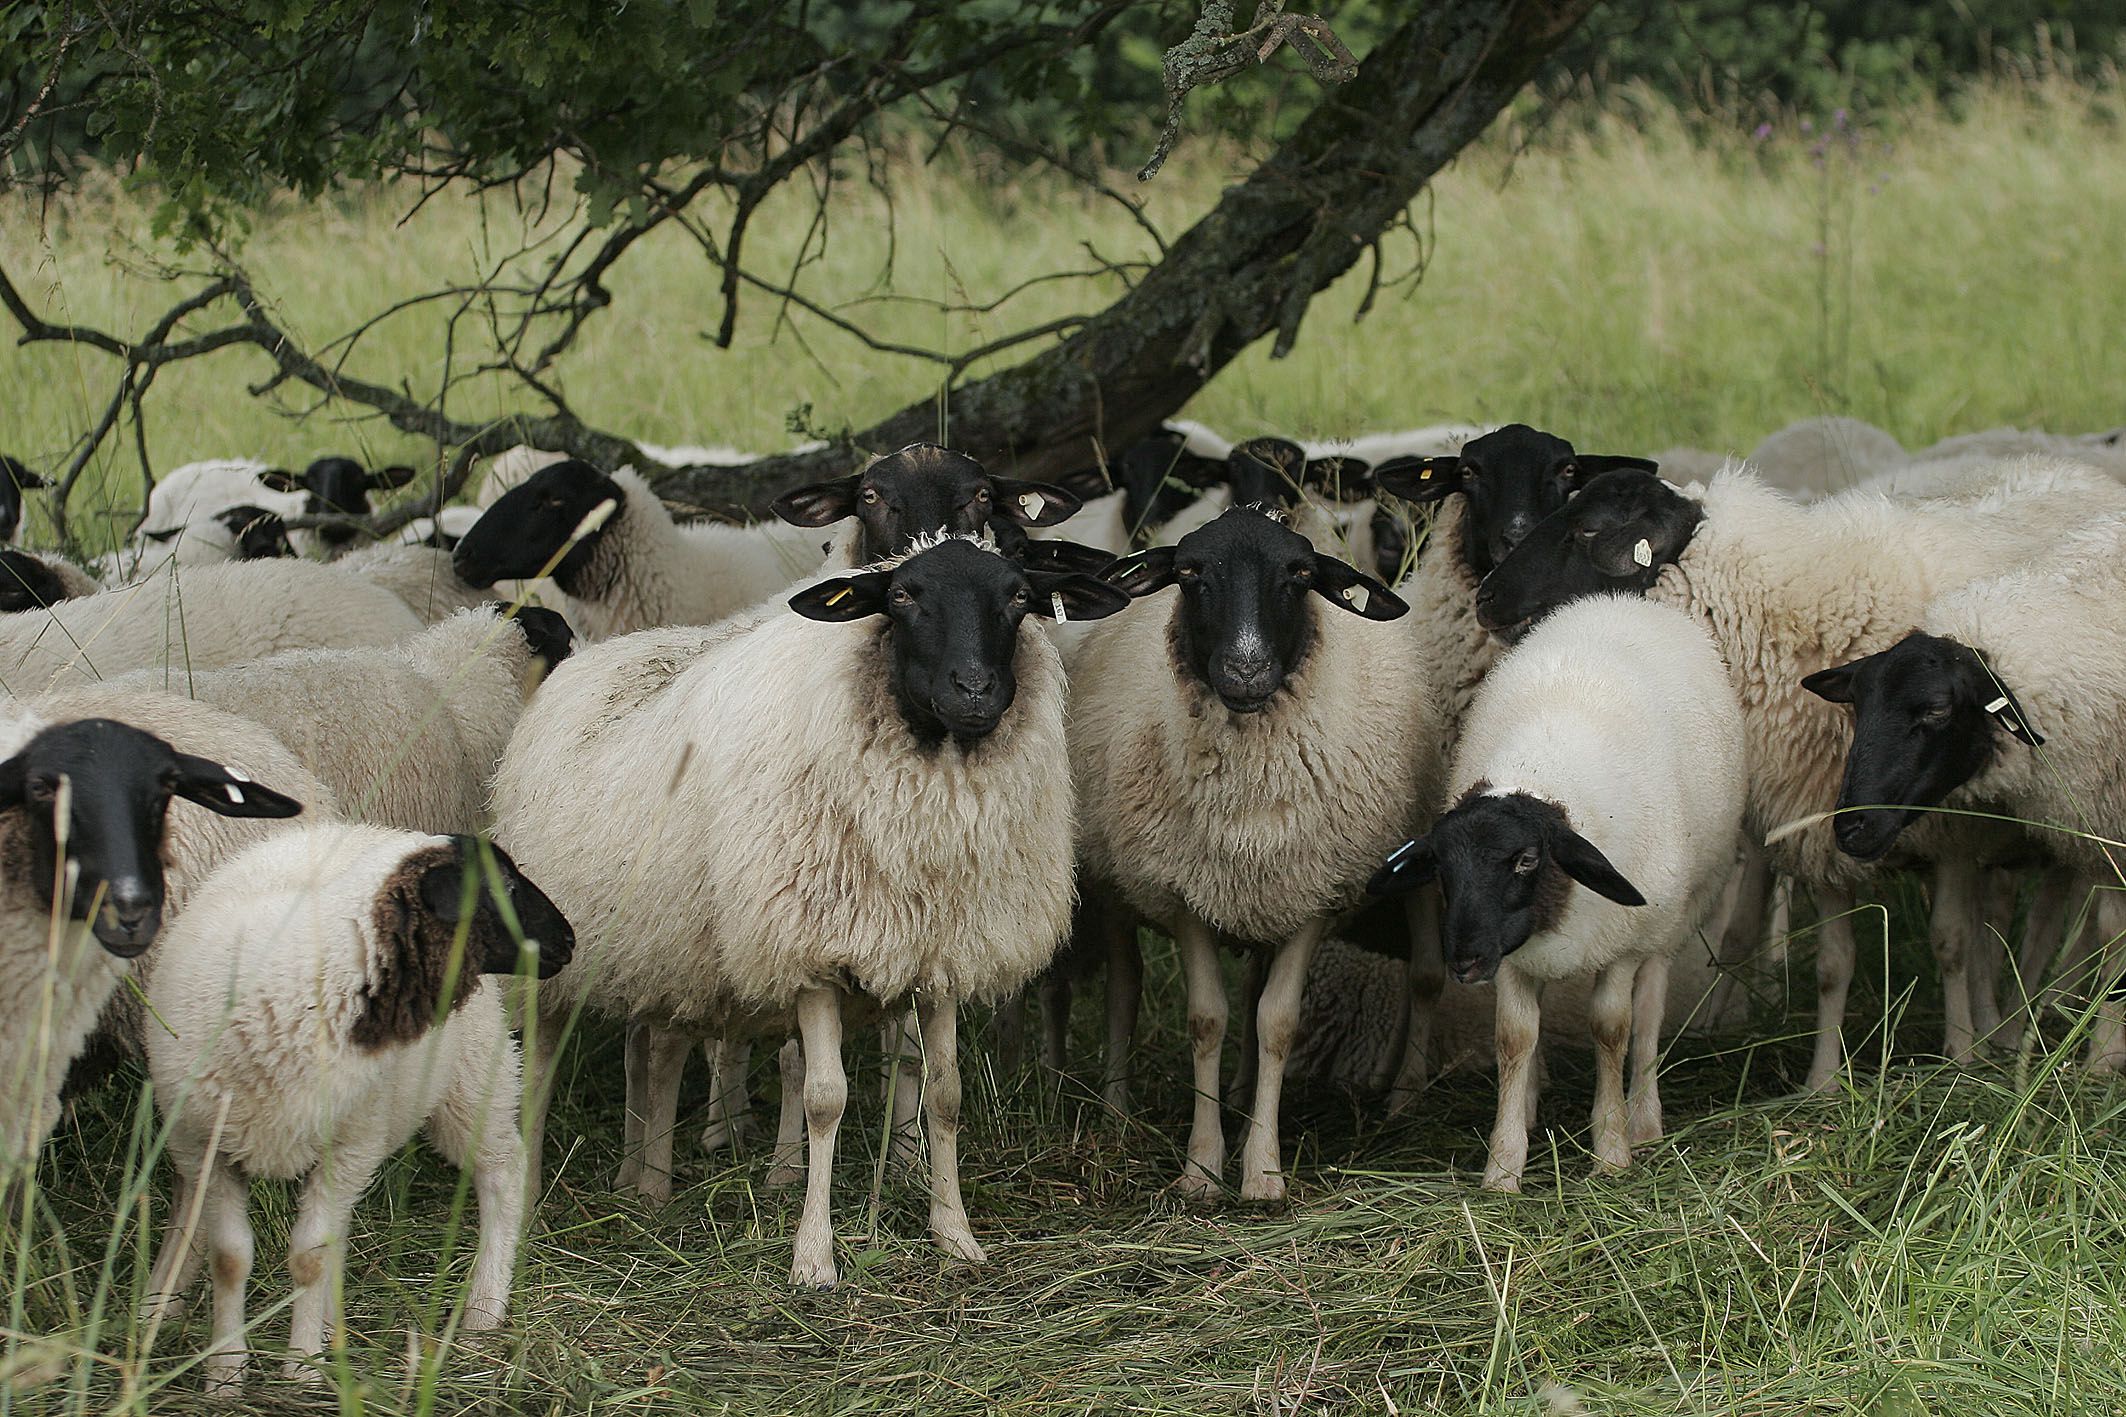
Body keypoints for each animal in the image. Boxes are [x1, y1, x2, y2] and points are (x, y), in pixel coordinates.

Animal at [139, 824, 572, 1391]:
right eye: (507, 886)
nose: (569, 940)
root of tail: (366, 829)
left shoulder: (347, 1144)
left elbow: (308, 1257)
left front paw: (300, 1370)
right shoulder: (206, 1146)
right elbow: (231, 1257)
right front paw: (227, 1375)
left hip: (471, 1077)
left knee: (503, 1171)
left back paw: (483, 1311)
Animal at [493, 534, 1130, 1285]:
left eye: (1020, 597)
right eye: (902, 596)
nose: (974, 690)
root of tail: (592, 655)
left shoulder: (941, 950)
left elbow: (945, 1093)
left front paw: (955, 1234)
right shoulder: (811, 948)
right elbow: (826, 1098)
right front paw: (814, 1257)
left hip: (658, 945)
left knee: (651, 1053)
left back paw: (642, 1181)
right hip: (553, 957)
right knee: (539, 1070)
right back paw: (534, 1204)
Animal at [1070, 506, 1430, 1201]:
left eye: (1301, 575)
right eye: (1188, 573)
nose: (1245, 670)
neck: (1250, 789)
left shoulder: (1314, 892)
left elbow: (1276, 1022)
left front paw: (1262, 1170)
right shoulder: (1183, 892)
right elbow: (1206, 1019)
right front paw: (1202, 1169)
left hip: (1273, 888)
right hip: (1114, 876)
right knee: (1124, 985)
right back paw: (1116, 1113)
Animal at [1368, 594, 1745, 1189]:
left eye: (1526, 860)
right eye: (1443, 869)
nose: (1464, 961)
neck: (1541, 774)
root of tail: (1619, 601)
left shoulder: (1619, 946)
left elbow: (1612, 1029)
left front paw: (1612, 1148)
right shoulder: (1511, 954)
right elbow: (1514, 1037)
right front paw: (1504, 1164)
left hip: (1674, 914)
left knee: (1650, 1009)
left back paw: (1645, 1118)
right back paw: (1529, 1103)